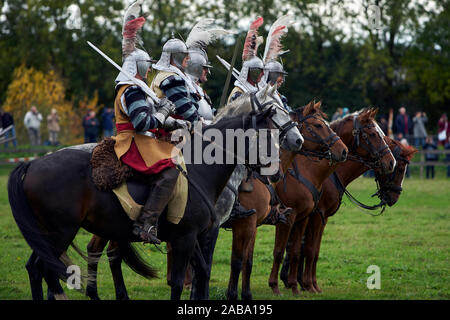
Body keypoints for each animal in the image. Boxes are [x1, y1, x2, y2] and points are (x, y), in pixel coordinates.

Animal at [7, 85, 304, 300]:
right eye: (269, 130)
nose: (277, 172)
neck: (201, 167)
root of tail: (33, 163)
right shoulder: (190, 236)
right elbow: (180, 281)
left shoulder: (197, 236)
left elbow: (202, 272)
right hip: (61, 232)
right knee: (46, 268)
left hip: (55, 233)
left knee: (38, 268)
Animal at [225, 100, 348, 300]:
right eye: (318, 125)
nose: (343, 150)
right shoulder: (282, 220)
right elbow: (278, 252)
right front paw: (277, 286)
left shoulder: (301, 219)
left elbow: (294, 252)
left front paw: (295, 286)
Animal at [280, 136, 416, 292]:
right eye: (399, 168)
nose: (395, 198)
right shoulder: (315, 216)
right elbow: (306, 248)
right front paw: (302, 282)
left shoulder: (315, 217)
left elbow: (302, 246)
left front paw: (295, 280)